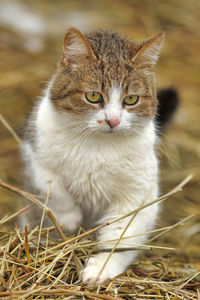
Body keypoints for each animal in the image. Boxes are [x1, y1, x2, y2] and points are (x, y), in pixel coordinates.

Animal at [21, 27, 169, 284]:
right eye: (93, 96)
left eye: (131, 99)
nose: (113, 121)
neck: (98, 145)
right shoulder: (36, 153)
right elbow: (54, 188)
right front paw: (69, 219)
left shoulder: (138, 194)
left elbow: (120, 234)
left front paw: (101, 268)